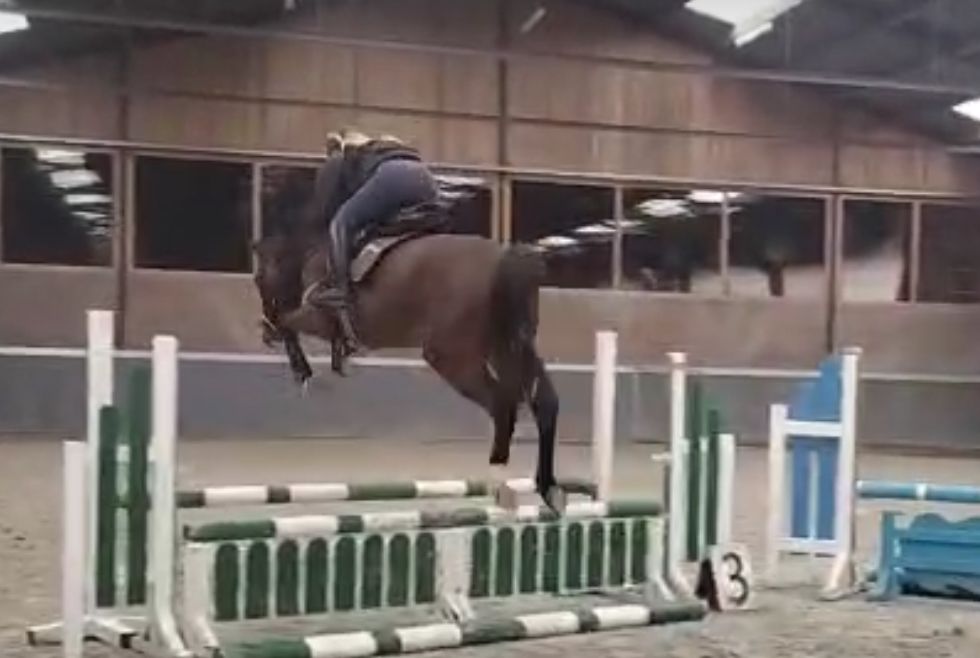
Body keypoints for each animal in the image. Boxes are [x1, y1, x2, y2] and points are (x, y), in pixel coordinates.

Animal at [251, 217, 566, 512]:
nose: (266, 334)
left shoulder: (316, 316)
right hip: (509, 347)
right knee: (543, 402)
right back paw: (546, 488)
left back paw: (498, 473)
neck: (309, 256)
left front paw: (301, 369)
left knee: (503, 403)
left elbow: (288, 323)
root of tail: (502, 259)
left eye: (259, 279)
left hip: (452, 356)